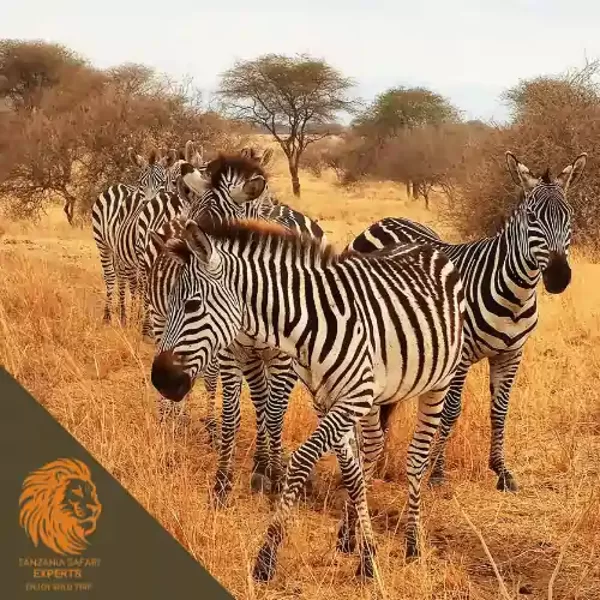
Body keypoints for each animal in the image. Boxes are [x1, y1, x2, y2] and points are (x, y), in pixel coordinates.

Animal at [145, 151, 326, 502]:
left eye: (228, 232)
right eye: (192, 221)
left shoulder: (282, 359)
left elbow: (275, 415)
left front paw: (276, 479)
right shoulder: (231, 352)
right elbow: (233, 415)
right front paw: (223, 482)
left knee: (272, 407)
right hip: (253, 359)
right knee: (260, 401)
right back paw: (259, 464)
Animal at [149, 217, 464, 580]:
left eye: (192, 305)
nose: (160, 380)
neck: (312, 325)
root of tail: (426, 247)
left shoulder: (352, 398)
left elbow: (301, 460)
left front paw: (266, 557)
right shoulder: (328, 399)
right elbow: (352, 473)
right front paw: (366, 555)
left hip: (438, 383)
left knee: (416, 458)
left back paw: (413, 544)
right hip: (375, 397)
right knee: (372, 448)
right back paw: (350, 536)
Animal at [346, 150, 584, 492]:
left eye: (569, 217)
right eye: (532, 218)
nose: (558, 277)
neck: (516, 296)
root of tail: (385, 220)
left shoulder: (511, 354)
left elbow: (499, 410)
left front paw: (501, 471)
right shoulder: (461, 357)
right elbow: (450, 411)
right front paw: (436, 472)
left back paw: (378, 464)